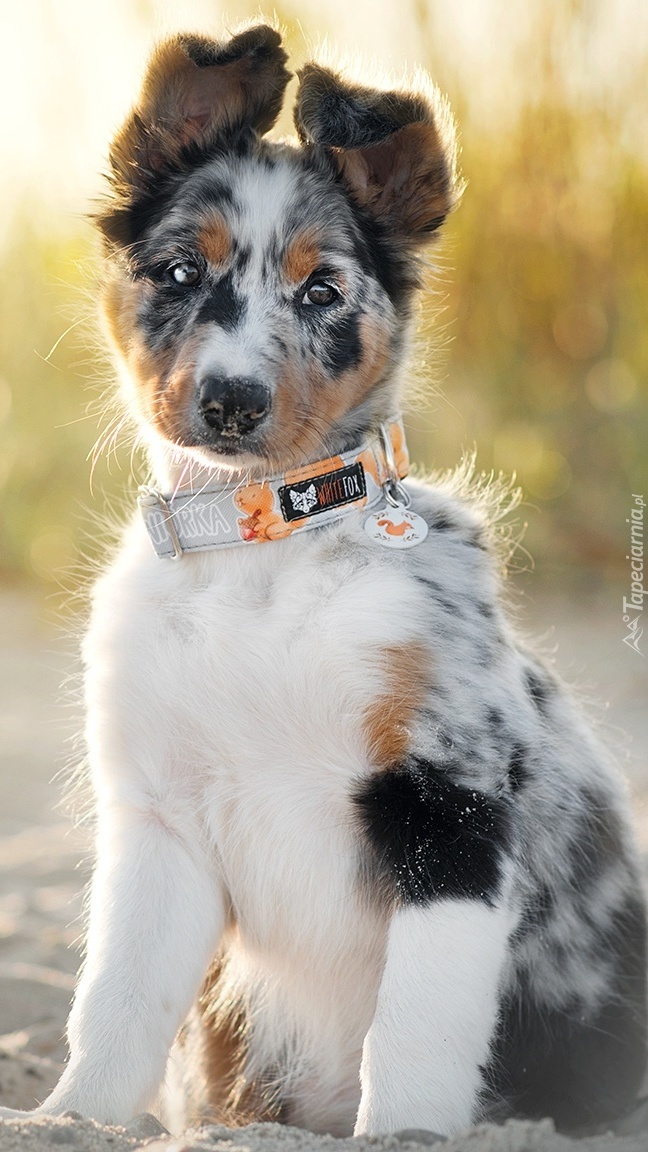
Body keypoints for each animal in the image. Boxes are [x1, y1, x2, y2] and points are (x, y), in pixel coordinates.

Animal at [3, 22, 641, 1138]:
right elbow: (114, 1005)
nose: (230, 401)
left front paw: (404, 1136)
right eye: (179, 271)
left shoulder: (446, 803)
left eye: (322, 292)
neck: (260, 559)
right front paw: (71, 1121)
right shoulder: (160, 817)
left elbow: (418, 1025)